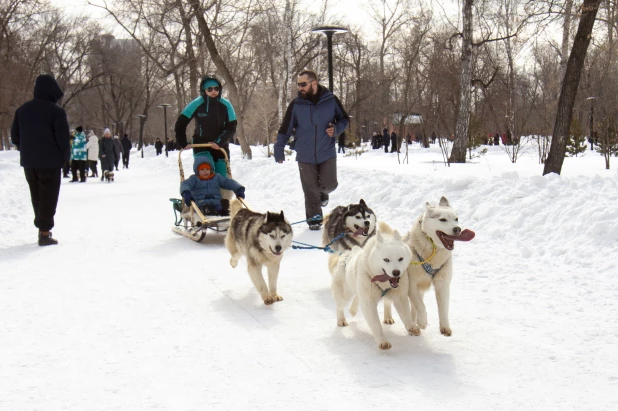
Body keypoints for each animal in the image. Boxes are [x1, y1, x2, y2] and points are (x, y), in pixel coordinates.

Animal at [330, 222, 416, 350]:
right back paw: (341, 319)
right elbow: (376, 325)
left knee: (376, 300)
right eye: (386, 260)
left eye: (401, 258)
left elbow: (406, 315)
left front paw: (412, 327)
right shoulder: (368, 303)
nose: (396, 272)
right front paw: (382, 341)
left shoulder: (400, 297)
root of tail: (348, 253)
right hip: (343, 295)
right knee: (340, 306)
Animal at [382, 198, 474, 336]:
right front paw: (423, 321)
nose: (457, 229)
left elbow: (443, 308)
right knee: (391, 303)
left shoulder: (442, 284)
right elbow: (421, 306)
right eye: (442, 219)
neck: (432, 256)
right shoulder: (412, 286)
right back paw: (389, 318)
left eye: (456, 219)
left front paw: (445, 326)